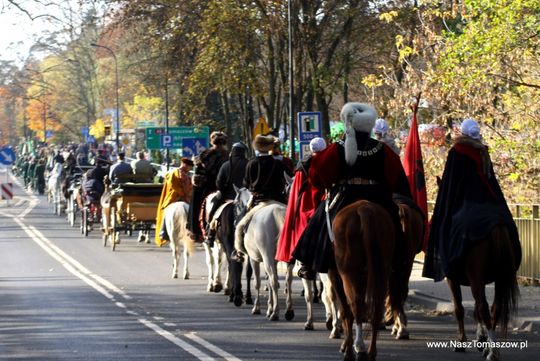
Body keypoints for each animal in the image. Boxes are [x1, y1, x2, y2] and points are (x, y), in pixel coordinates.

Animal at [233, 187, 288, 320]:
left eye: (236, 204)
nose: (234, 221)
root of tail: (278, 213)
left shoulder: (254, 259)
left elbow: (257, 282)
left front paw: (257, 308)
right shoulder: (272, 260)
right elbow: (268, 281)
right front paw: (269, 308)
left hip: (266, 257)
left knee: (274, 281)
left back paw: (275, 313)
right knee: (288, 280)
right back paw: (289, 311)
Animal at [330, 200, 396, 360]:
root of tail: (364, 209)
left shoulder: (335, 276)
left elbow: (345, 311)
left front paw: (347, 348)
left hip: (348, 275)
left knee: (354, 305)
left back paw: (359, 347)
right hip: (381, 273)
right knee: (377, 308)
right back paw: (371, 352)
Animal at [442, 224, 520, 358]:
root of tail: (497, 225)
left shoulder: (452, 278)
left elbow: (459, 309)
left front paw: (461, 342)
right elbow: (475, 308)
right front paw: (481, 338)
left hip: (476, 278)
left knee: (483, 307)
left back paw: (492, 351)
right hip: (499, 279)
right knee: (495, 307)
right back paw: (490, 348)